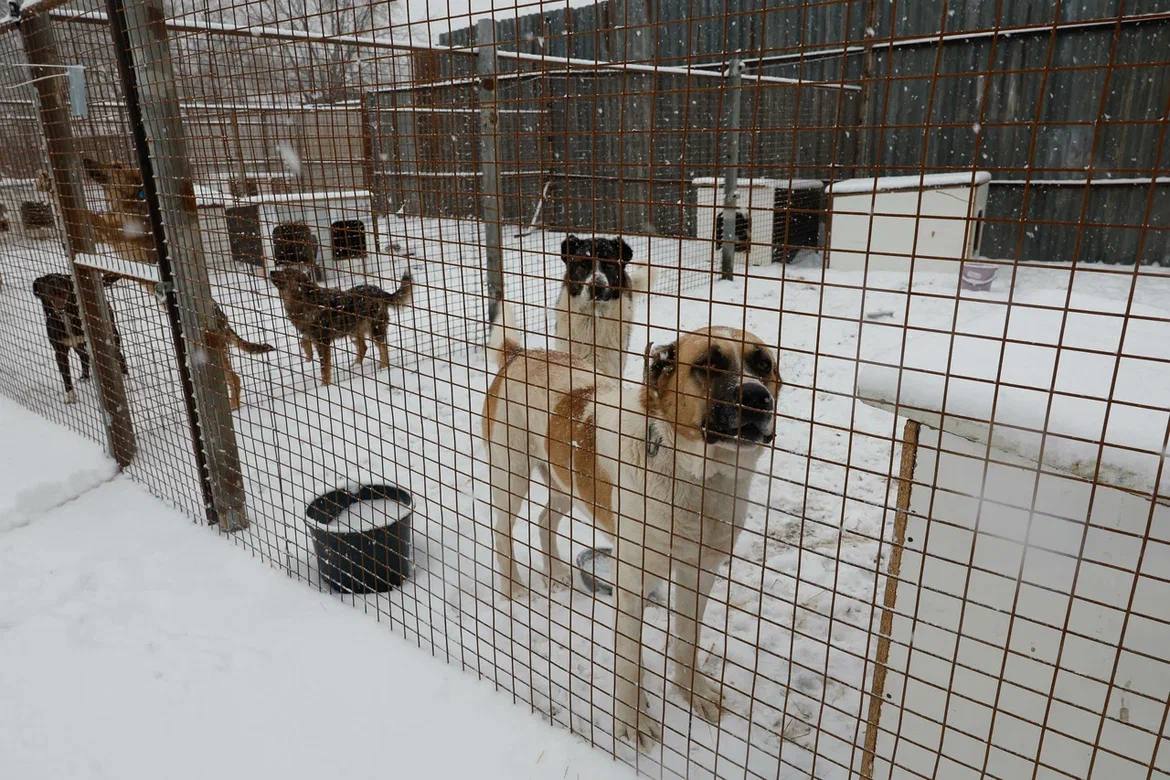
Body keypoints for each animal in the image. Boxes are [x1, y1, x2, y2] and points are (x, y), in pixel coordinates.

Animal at [31, 273, 126, 406]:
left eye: (61, 279)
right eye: (47, 280)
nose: (55, 284)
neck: (65, 315)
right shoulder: (60, 351)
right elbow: (66, 376)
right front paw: (70, 396)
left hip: (112, 334)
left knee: (119, 355)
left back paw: (125, 376)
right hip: (78, 346)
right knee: (84, 357)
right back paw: (84, 378)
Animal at [267, 268, 411, 388]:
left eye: (286, 272)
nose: (271, 271)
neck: (304, 300)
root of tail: (380, 291)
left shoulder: (323, 342)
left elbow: (325, 367)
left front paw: (325, 386)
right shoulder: (311, 334)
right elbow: (303, 340)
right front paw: (308, 355)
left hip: (375, 329)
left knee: (383, 348)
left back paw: (383, 368)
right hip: (353, 330)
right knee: (363, 347)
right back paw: (354, 367)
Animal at [479, 311, 781, 748]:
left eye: (763, 364)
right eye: (707, 364)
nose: (758, 398)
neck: (697, 478)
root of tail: (521, 353)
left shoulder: (700, 574)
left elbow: (687, 642)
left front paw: (694, 694)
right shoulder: (631, 582)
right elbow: (629, 661)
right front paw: (632, 721)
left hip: (568, 481)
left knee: (544, 520)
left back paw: (556, 574)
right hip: (511, 473)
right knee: (503, 531)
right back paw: (515, 589)